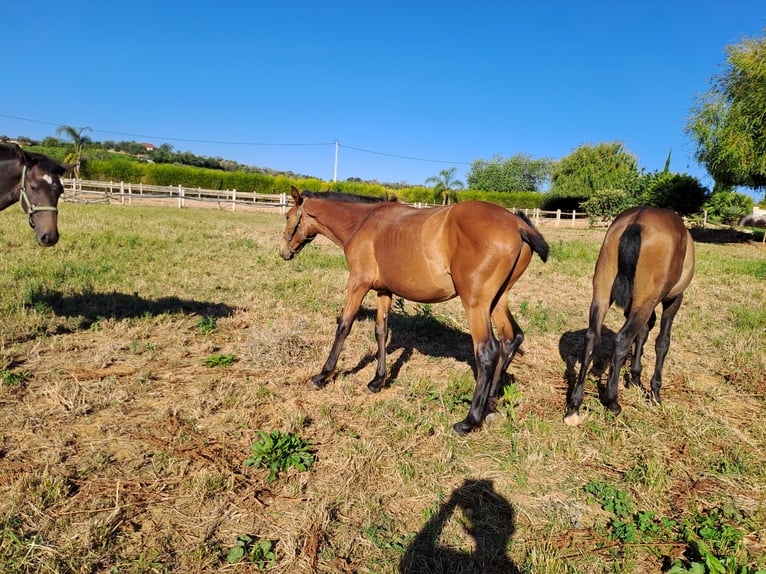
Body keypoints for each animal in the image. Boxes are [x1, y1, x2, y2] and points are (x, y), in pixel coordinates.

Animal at [282, 189, 552, 436]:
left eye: (287, 216)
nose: (284, 252)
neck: (363, 222)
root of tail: (517, 223)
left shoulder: (358, 284)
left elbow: (344, 326)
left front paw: (323, 375)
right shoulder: (384, 291)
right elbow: (381, 331)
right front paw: (377, 381)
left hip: (476, 304)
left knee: (487, 351)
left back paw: (470, 420)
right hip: (497, 300)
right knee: (511, 338)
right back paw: (491, 404)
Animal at [564, 207, 696, 428]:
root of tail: (638, 220)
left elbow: (642, 334)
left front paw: (634, 377)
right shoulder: (673, 299)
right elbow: (662, 342)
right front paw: (655, 392)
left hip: (602, 293)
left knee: (592, 337)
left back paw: (574, 406)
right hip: (647, 300)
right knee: (622, 339)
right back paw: (612, 402)